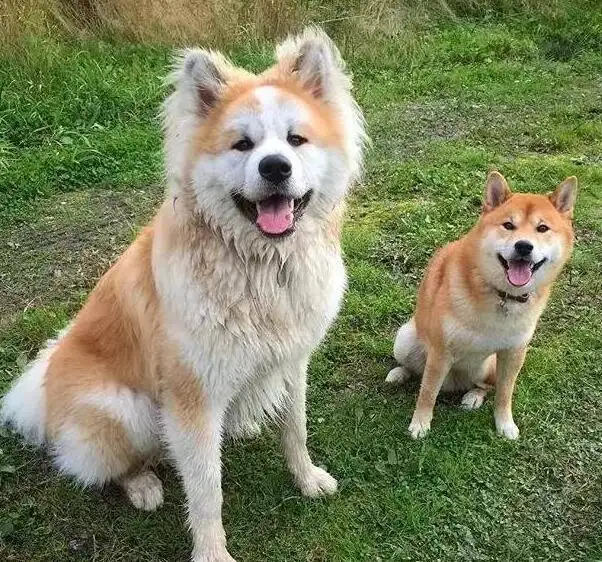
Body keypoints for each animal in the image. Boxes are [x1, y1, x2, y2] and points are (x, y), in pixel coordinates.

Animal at [0, 27, 364, 560]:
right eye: (242, 145)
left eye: (296, 140)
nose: (275, 167)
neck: (258, 267)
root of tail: (41, 394)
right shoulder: (193, 399)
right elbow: (206, 488)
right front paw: (212, 552)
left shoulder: (293, 361)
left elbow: (295, 429)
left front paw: (307, 479)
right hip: (125, 409)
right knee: (114, 464)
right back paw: (143, 485)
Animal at [384, 171, 576, 438]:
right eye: (508, 225)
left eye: (542, 228)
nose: (524, 246)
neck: (501, 296)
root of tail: (455, 383)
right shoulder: (441, 352)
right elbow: (427, 392)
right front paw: (420, 424)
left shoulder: (513, 353)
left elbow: (505, 393)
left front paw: (505, 424)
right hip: (405, 340)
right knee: (416, 371)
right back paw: (399, 373)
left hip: (488, 366)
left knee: (486, 386)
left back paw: (473, 396)